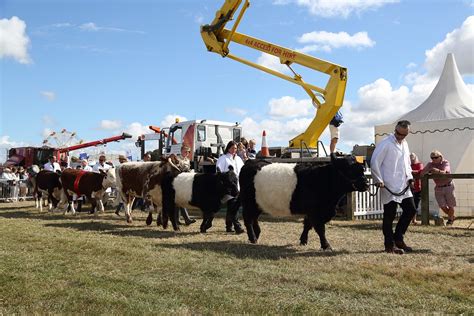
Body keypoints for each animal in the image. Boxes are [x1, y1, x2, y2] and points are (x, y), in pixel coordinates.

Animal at [239, 154, 368, 251]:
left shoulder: (312, 211)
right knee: (248, 219)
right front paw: (326, 246)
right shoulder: (316, 211)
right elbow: (320, 229)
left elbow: (307, 225)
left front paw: (303, 240)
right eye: (350, 169)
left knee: (254, 218)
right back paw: (253, 238)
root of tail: (250, 162)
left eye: (362, 169)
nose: (366, 183)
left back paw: (256, 234)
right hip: (248, 202)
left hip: (258, 203)